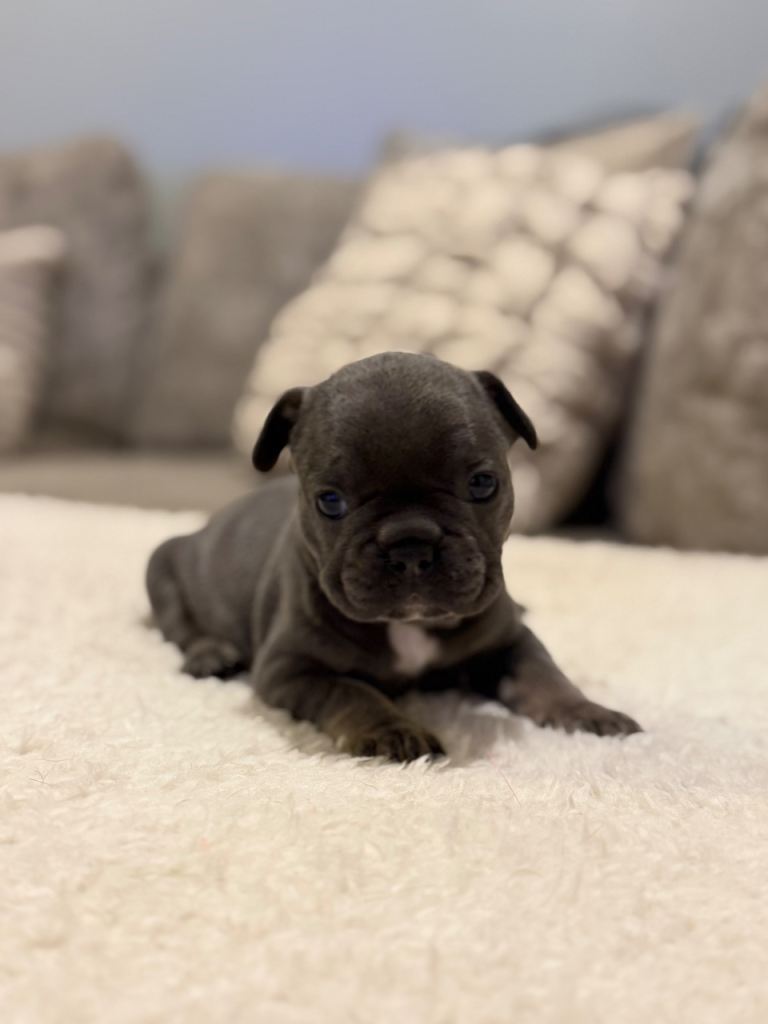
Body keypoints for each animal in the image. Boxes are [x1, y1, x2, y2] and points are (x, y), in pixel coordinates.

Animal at [146, 352, 640, 760]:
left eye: (483, 483)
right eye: (330, 501)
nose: (411, 544)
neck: (410, 626)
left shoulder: (510, 641)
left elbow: (544, 674)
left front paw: (586, 712)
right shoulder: (291, 670)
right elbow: (351, 692)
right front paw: (392, 730)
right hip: (161, 566)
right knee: (178, 623)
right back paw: (211, 655)